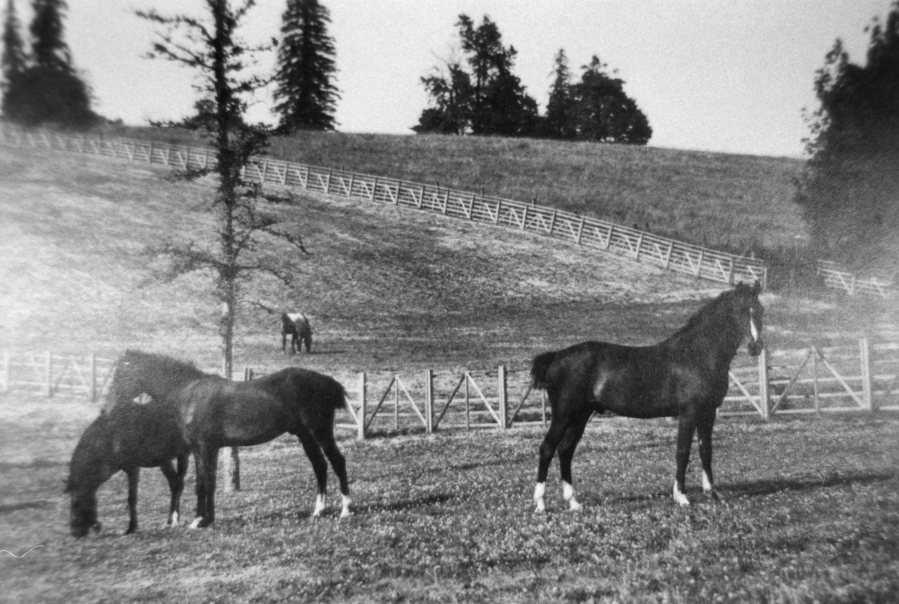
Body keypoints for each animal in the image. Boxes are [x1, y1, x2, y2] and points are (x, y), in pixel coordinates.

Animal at [65, 401, 189, 538]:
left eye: (76, 502)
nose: (75, 532)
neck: (110, 437)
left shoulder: (133, 467)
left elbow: (132, 498)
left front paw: (132, 528)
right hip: (170, 458)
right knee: (176, 483)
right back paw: (171, 521)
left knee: (178, 483)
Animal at [103, 350, 351, 528]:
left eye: (119, 375)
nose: (106, 409)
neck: (190, 394)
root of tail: (328, 382)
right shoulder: (202, 449)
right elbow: (205, 482)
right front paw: (203, 519)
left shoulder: (205, 447)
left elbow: (205, 482)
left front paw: (201, 520)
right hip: (304, 435)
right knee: (319, 465)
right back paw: (318, 511)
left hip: (320, 431)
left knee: (337, 461)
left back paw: (346, 510)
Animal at [531, 281, 765, 511]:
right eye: (738, 311)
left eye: (760, 310)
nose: (756, 346)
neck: (696, 355)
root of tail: (556, 357)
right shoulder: (688, 413)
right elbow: (683, 451)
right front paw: (682, 497)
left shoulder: (708, 412)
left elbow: (705, 449)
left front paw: (711, 492)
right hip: (563, 415)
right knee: (547, 448)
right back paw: (541, 504)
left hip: (580, 416)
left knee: (565, 450)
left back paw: (573, 502)